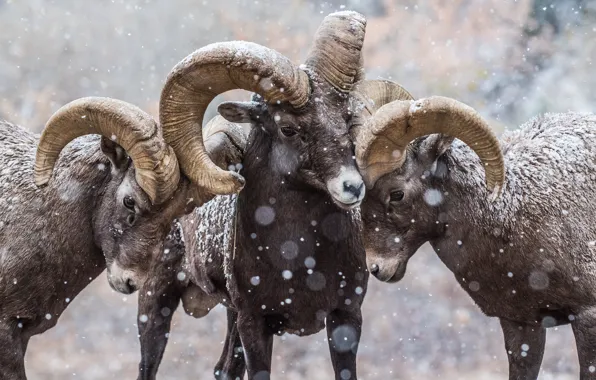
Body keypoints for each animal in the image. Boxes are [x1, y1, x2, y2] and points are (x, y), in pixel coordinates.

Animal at [134, 11, 372, 380]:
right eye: (288, 128)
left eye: (346, 120)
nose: (352, 187)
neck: (297, 259)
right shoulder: (254, 323)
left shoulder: (346, 318)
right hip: (155, 303)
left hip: (228, 316)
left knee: (224, 369)